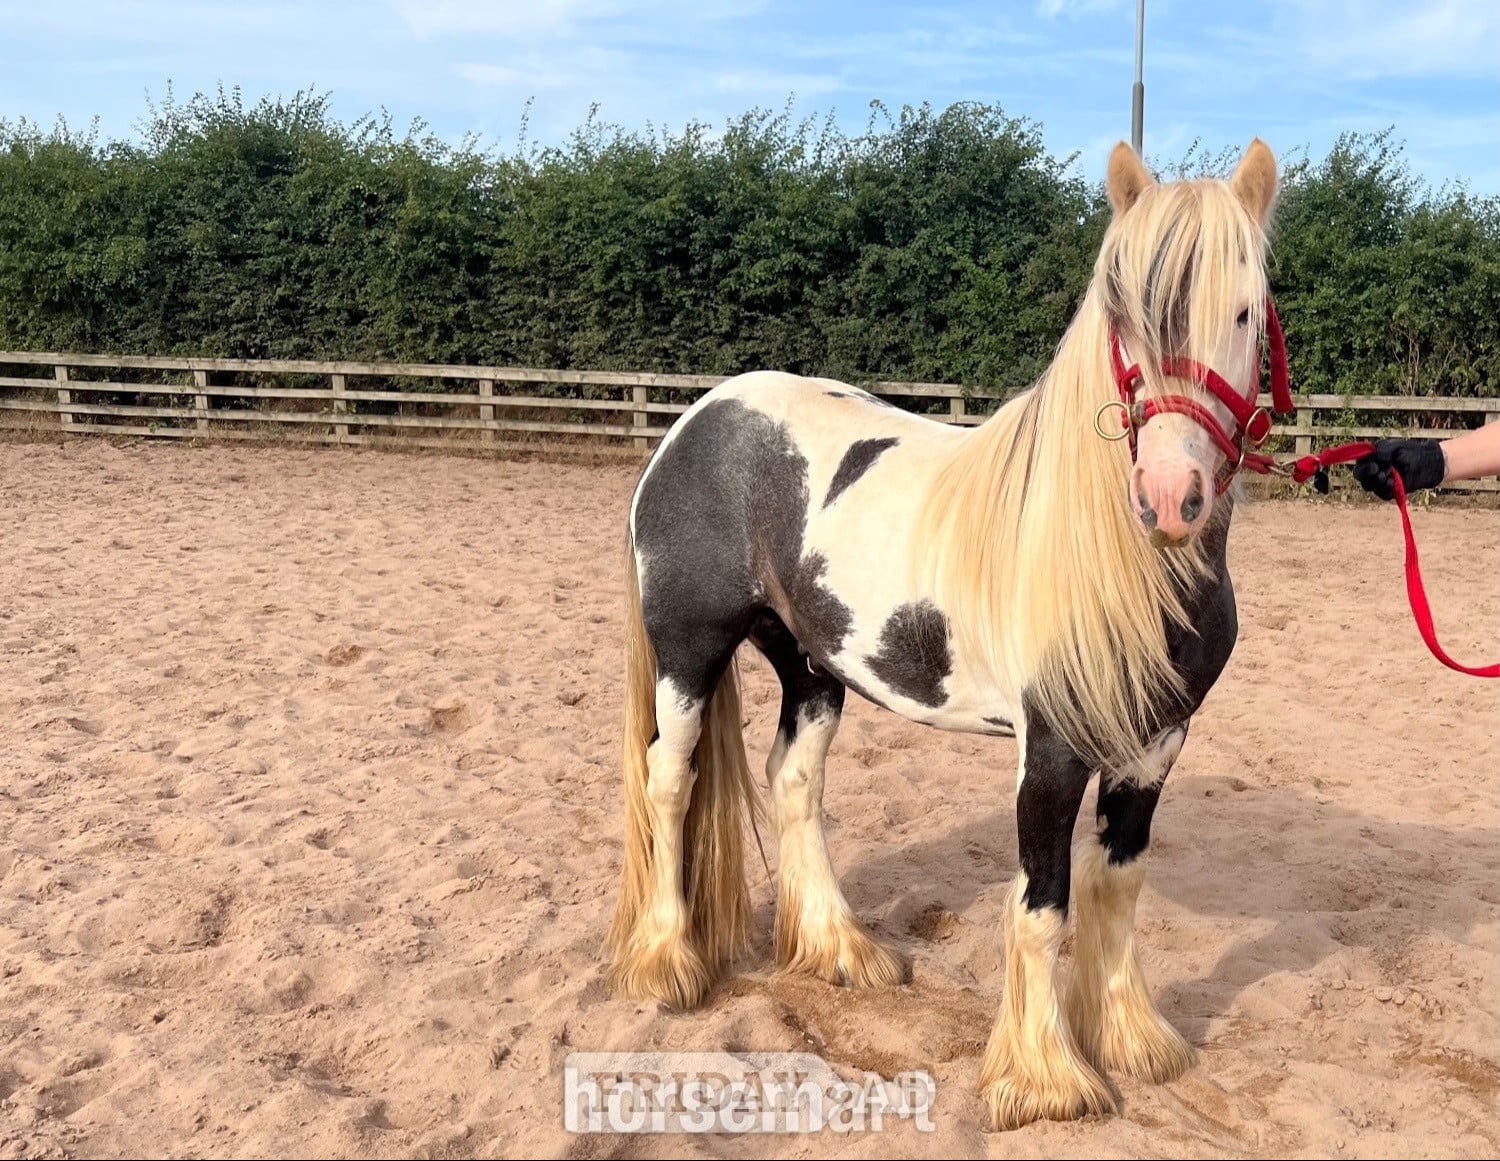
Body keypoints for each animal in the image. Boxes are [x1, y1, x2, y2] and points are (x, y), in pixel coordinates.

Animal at [604, 137, 1283, 1130]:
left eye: (1243, 308)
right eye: (1123, 319)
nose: (1169, 496)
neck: (1124, 567)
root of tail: (699, 418)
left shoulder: (1156, 745)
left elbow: (1117, 885)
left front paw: (1131, 1038)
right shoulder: (1053, 752)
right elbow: (1043, 906)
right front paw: (1044, 1079)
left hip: (812, 664)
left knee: (793, 780)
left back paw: (840, 949)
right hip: (689, 653)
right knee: (669, 781)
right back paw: (666, 960)